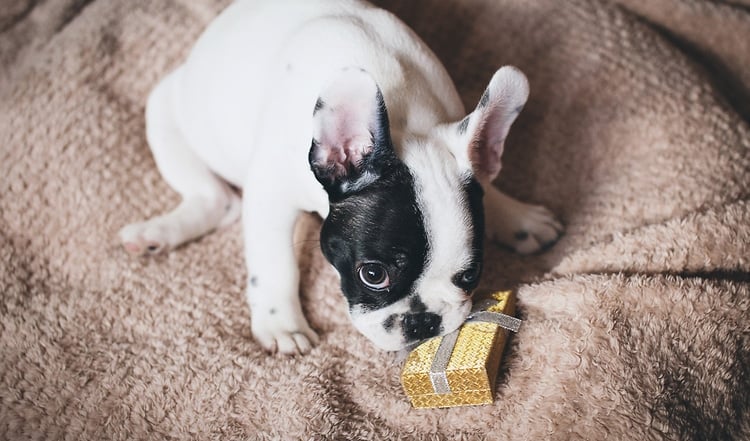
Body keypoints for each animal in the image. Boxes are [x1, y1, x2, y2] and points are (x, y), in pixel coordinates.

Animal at [119, 0, 564, 354]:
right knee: (218, 200)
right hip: (165, 107)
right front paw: (282, 324)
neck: (406, 122)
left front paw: (517, 216)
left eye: (470, 275)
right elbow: (275, 262)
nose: (423, 322)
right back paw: (156, 234)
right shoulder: (271, 196)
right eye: (373, 274)